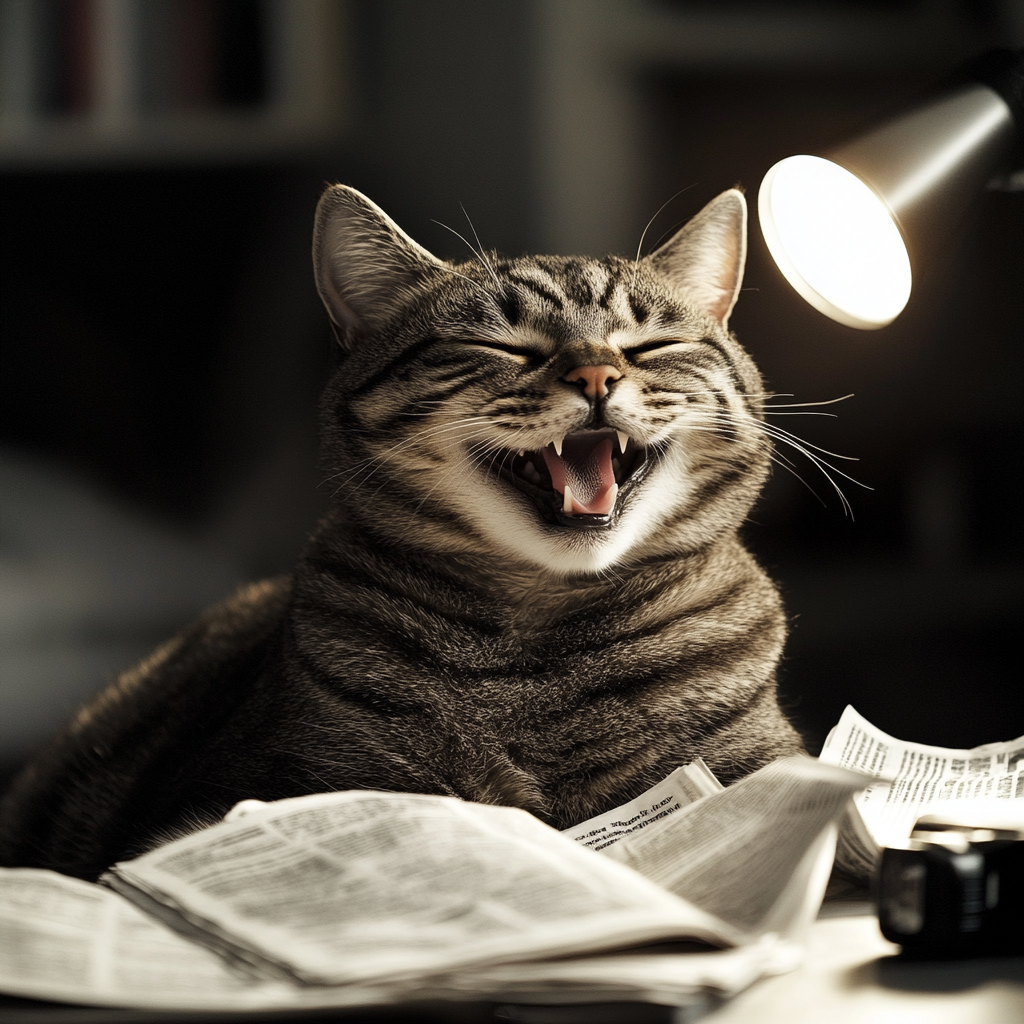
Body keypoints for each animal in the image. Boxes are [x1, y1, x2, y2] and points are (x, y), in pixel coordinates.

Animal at [0, 184, 802, 880]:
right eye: (504, 347)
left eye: (651, 345)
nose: (598, 376)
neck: (540, 652)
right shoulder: (258, 803)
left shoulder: (756, 759)